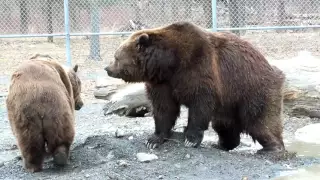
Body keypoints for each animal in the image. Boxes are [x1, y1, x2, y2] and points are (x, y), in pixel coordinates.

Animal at [106, 20, 286, 153]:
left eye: (116, 57)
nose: (107, 68)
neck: (169, 64)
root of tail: (272, 68)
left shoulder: (198, 67)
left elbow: (200, 103)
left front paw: (190, 139)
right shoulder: (162, 83)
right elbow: (164, 108)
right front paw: (154, 139)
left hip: (253, 89)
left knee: (261, 122)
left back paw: (272, 148)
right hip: (230, 102)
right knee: (224, 125)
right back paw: (223, 144)